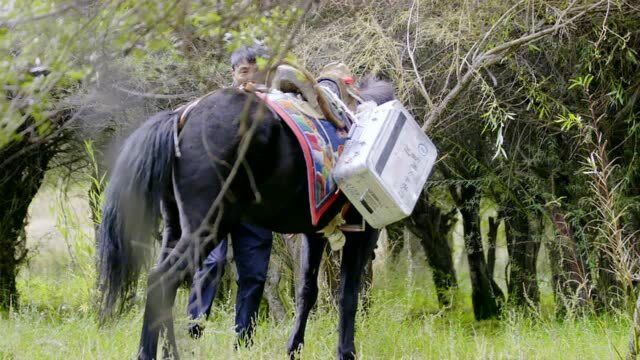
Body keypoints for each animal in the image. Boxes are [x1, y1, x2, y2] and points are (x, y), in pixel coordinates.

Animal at [97, 79, 392, 360]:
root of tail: (181, 117)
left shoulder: (315, 234)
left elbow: (307, 291)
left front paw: (294, 349)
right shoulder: (361, 232)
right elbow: (348, 295)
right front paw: (346, 352)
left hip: (175, 228)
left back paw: (169, 353)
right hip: (206, 228)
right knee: (162, 280)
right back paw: (152, 353)